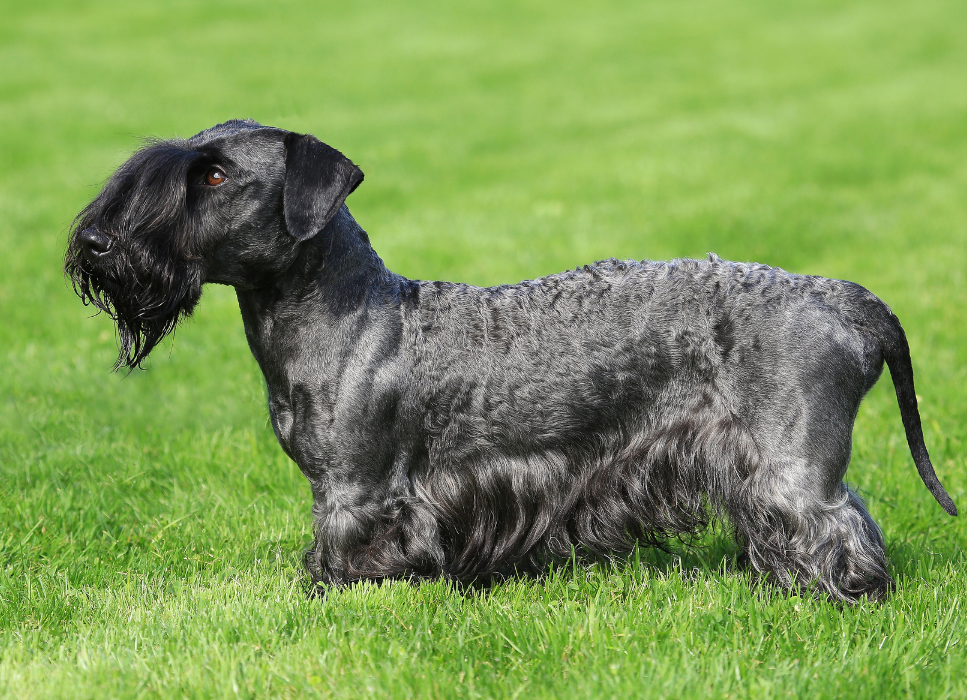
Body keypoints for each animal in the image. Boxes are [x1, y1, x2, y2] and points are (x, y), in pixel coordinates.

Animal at [66, 119, 957, 603]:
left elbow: (349, 553)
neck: (344, 310)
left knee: (834, 526)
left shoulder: (359, 492)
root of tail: (842, 296)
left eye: (214, 175)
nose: (97, 244)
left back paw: (832, 595)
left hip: (791, 462)